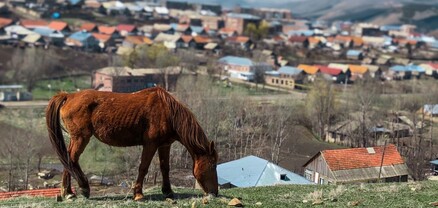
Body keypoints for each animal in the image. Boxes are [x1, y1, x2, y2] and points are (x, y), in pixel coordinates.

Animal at [46, 85, 219, 200]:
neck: (168, 112)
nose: (215, 193)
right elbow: (143, 167)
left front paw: (168, 191)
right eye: (213, 166)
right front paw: (138, 194)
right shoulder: (150, 145)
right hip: (81, 138)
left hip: (76, 138)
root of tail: (69, 96)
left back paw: (70, 192)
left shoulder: (164, 145)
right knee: (71, 159)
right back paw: (76, 190)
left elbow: (165, 168)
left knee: (68, 159)